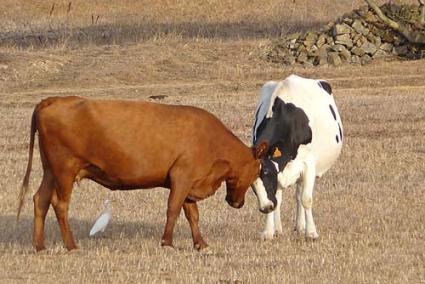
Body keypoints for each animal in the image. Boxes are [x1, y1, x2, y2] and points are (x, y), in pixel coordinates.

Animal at [18, 96, 266, 252]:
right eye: (258, 170)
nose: (237, 203)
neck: (212, 141)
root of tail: (54, 100)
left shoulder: (190, 183)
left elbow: (192, 214)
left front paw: (200, 244)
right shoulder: (182, 177)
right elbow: (173, 209)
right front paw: (167, 242)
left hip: (50, 171)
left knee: (40, 200)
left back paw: (39, 246)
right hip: (64, 170)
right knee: (60, 204)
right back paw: (71, 246)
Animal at [252, 74, 342, 240]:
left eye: (268, 174)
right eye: (252, 185)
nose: (266, 207)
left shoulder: (308, 164)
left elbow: (306, 199)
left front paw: (311, 232)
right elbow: (276, 198)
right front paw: (269, 232)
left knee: (299, 195)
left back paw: (301, 227)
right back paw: (282, 228)